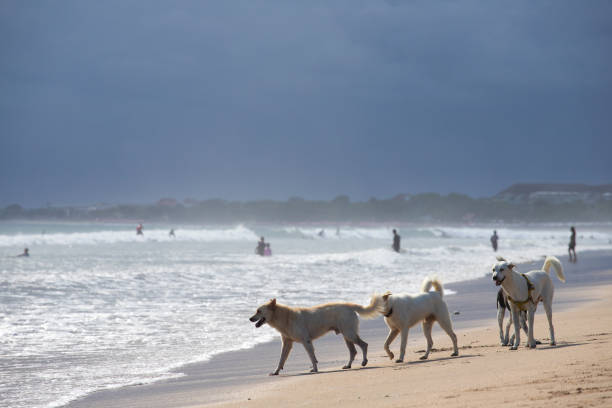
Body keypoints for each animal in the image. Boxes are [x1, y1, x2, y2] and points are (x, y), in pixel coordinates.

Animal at [247, 296, 378, 376]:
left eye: (259, 311)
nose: (250, 319)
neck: (286, 318)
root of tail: (348, 305)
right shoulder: (287, 344)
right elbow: (281, 360)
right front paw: (276, 372)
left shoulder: (306, 341)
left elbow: (311, 357)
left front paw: (315, 369)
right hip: (347, 335)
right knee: (353, 351)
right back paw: (348, 365)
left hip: (349, 334)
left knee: (364, 345)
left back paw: (364, 361)